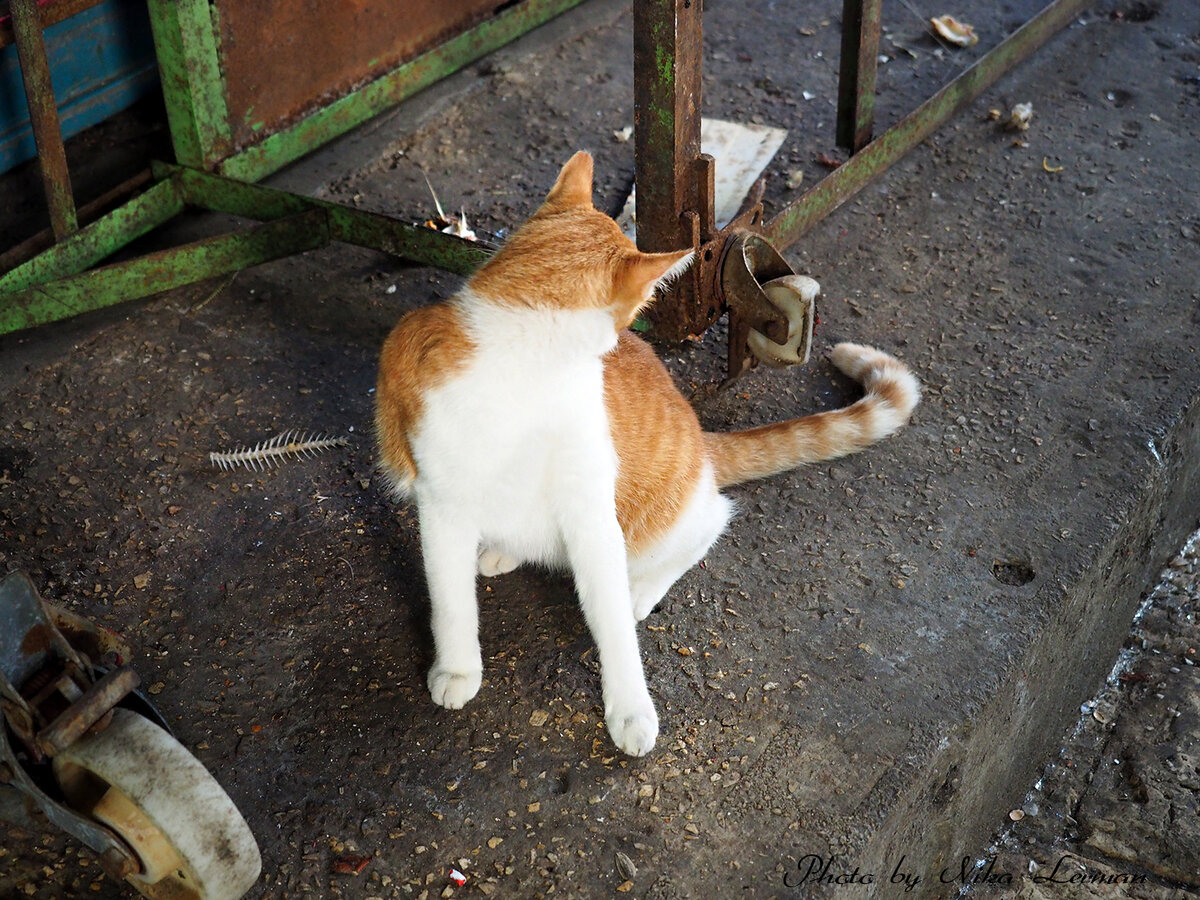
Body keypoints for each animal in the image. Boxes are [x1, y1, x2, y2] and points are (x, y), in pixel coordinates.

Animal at [374, 151, 916, 758]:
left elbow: (612, 626)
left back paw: (641, 588)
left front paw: (629, 708)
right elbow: (450, 603)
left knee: (710, 524)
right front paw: (458, 668)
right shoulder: (440, 506)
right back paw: (501, 551)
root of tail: (698, 435)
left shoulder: (592, 518)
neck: (517, 362)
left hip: (665, 519)